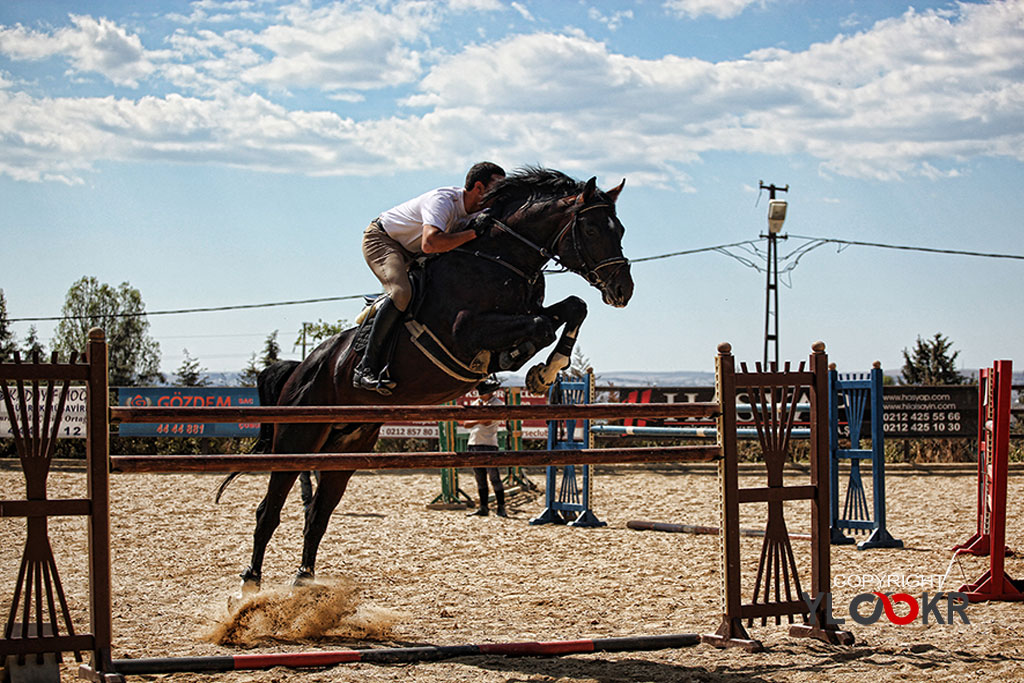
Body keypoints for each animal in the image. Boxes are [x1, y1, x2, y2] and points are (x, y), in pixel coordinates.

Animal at [241, 167, 630, 589]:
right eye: (590, 229)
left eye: (620, 229)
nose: (623, 290)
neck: (502, 259)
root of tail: (299, 368)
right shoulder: (464, 332)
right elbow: (541, 326)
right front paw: (521, 360)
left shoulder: (529, 310)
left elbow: (574, 307)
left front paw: (544, 372)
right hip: (298, 438)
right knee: (269, 510)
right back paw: (250, 585)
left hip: (346, 448)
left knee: (317, 515)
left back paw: (305, 584)